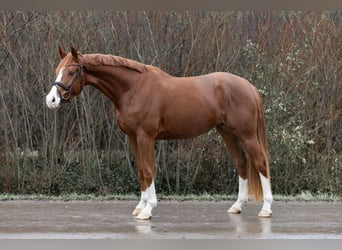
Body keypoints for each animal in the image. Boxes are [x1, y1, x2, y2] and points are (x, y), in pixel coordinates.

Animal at [46, 46, 274, 219]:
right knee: (241, 164)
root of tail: (250, 88)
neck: (132, 88)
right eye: (57, 70)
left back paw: (266, 208)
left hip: (247, 135)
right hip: (228, 133)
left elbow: (148, 170)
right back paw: (236, 206)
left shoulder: (146, 137)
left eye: (71, 72)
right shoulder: (133, 138)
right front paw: (140, 206)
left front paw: (148, 210)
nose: (51, 100)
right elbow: (140, 171)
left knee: (261, 163)